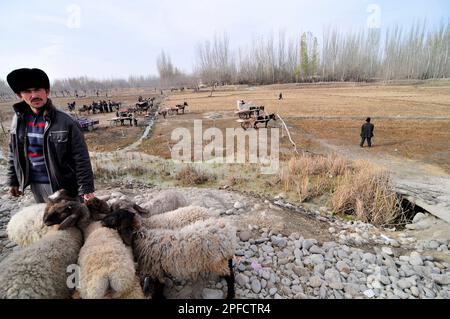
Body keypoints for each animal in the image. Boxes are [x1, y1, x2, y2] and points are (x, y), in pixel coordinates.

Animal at [101, 210, 236, 300]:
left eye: (115, 216)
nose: (101, 221)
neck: (141, 236)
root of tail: (226, 228)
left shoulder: (154, 270)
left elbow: (158, 289)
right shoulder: (158, 269)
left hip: (219, 261)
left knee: (230, 276)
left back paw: (230, 295)